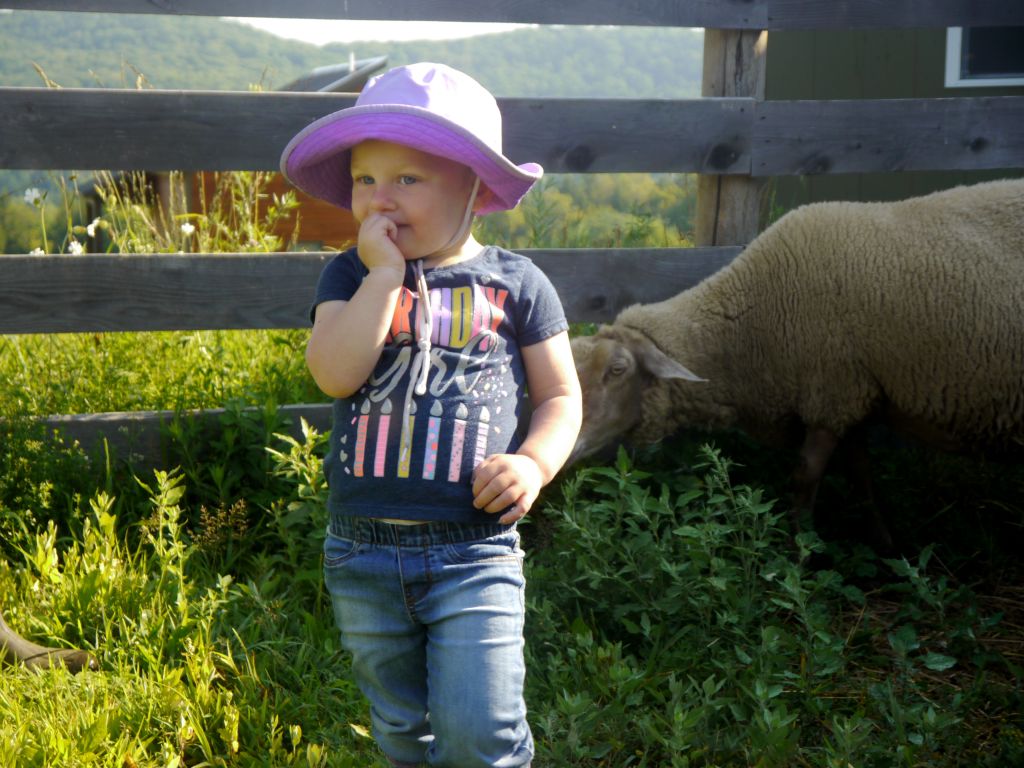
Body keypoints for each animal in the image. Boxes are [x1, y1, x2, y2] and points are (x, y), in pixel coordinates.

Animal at [568, 178, 1024, 547]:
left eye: (618, 370)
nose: (567, 444)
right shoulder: (852, 394)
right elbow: (862, 478)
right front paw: (884, 543)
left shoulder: (830, 392)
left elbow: (805, 478)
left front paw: (799, 552)